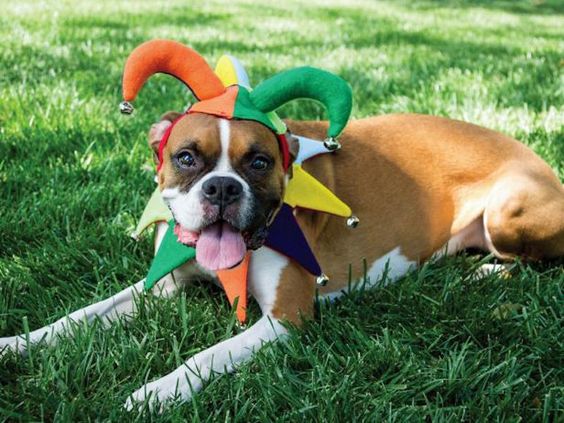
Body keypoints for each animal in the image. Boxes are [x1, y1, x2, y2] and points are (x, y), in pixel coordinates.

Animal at [1, 95, 564, 410]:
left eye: (258, 162)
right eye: (186, 158)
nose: (222, 188)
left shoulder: (285, 318)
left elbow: (207, 356)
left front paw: (157, 392)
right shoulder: (160, 287)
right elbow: (80, 317)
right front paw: (17, 342)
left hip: (507, 214)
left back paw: (482, 273)